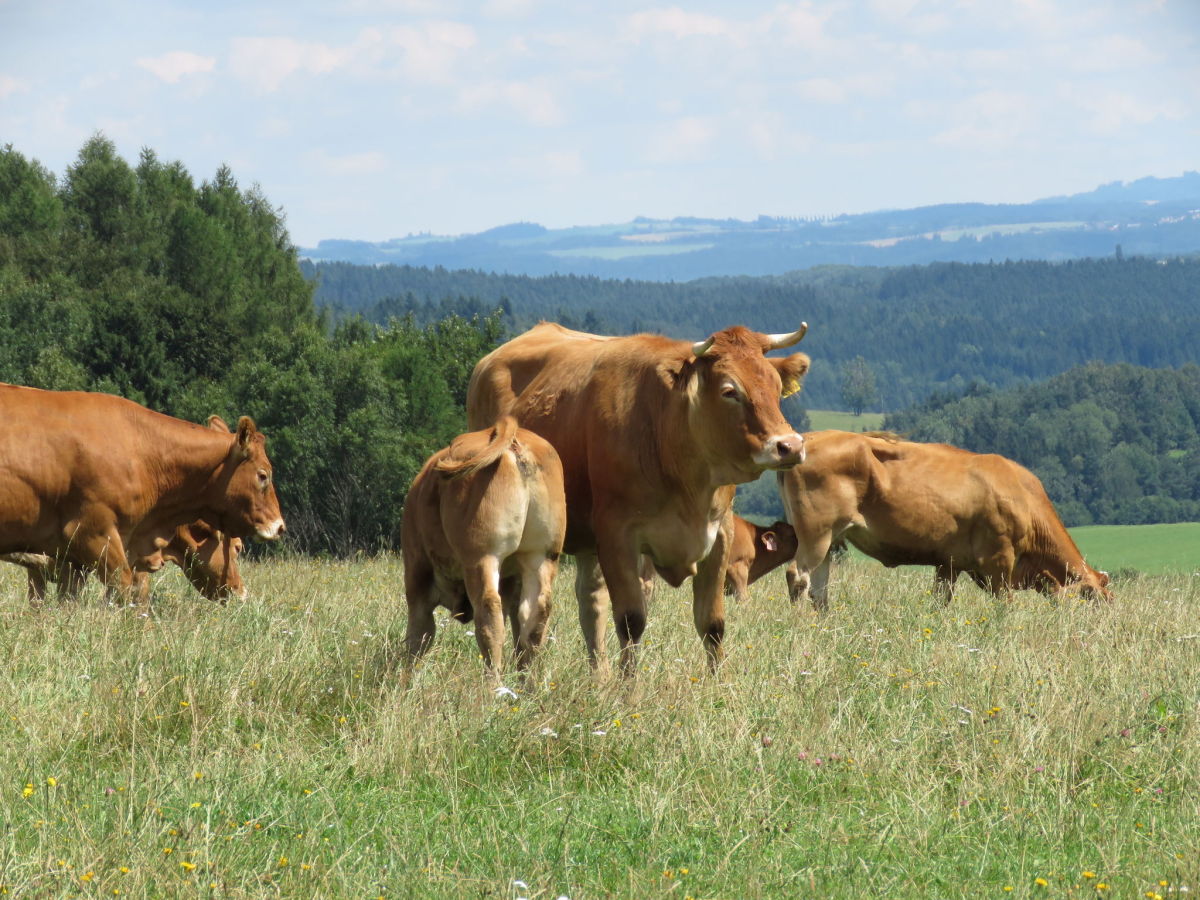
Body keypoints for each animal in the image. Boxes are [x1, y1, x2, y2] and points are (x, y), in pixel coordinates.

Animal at [403, 420, 566, 681]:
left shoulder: (416, 570)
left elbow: (418, 637)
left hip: (482, 557)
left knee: (490, 614)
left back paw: (491, 685)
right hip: (541, 556)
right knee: (535, 618)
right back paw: (527, 686)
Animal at [463, 324, 811, 676]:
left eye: (776, 386)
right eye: (730, 391)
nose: (790, 446)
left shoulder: (720, 535)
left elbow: (712, 624)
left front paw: (718, 682)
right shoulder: (617, 536)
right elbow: (631, 622)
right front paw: (629, 686)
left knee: (590, 603)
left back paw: (599, 678)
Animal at [777, 432, 1113, 614]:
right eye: (1095, 601)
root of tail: (806, 440)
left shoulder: (948, 563)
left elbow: (941, 601)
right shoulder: (998, 559)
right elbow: (1005, 604)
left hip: (829, 540)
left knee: (819, 589)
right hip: (816, 533)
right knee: (798, 576)